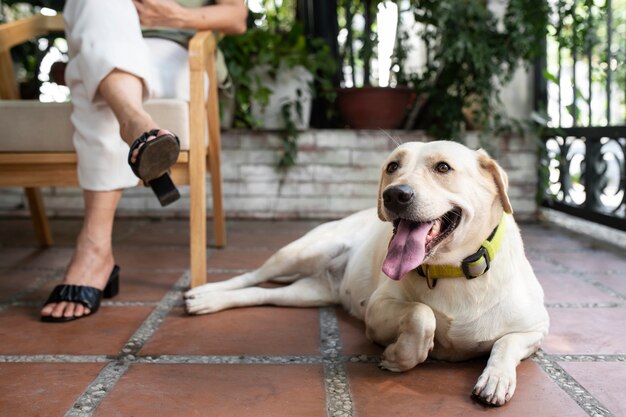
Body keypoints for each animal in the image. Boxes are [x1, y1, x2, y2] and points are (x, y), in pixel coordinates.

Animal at [184, 141, 544, 406]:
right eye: (392, 166)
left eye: (443, 167)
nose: (395, 194)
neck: (450, 270)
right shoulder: (375, 312)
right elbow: (421, 314)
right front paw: (398, 356)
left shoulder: (536, 331)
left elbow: (506, 344)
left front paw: (496, 378)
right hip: (301, 252)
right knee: (251, 277)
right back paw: (204, 294)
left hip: (304, 293)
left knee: (262, 294)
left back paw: (209, 301)